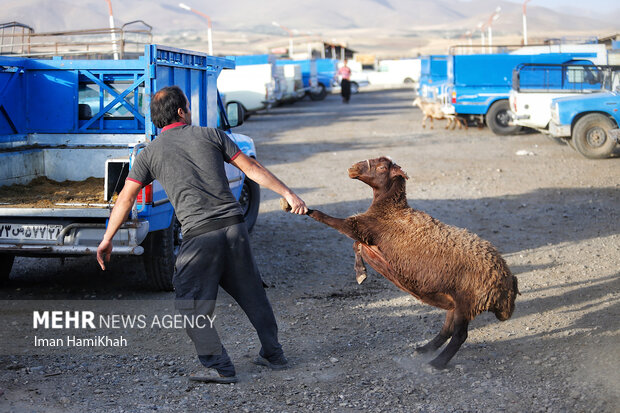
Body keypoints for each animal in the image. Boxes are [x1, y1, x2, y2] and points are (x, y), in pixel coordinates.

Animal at [282, 157, 520, 366]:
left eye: (381, 168)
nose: (352, 168)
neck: (390, 209)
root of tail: (506, 283)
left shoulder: (361, 227)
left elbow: (328, 219)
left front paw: (303, 208)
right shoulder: (367, 237)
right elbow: (356, 246)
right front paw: (361, 273)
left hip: (468, 300)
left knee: (460, 335)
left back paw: (436, 364)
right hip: (454, 300)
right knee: (447, 329)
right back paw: (424, 349)